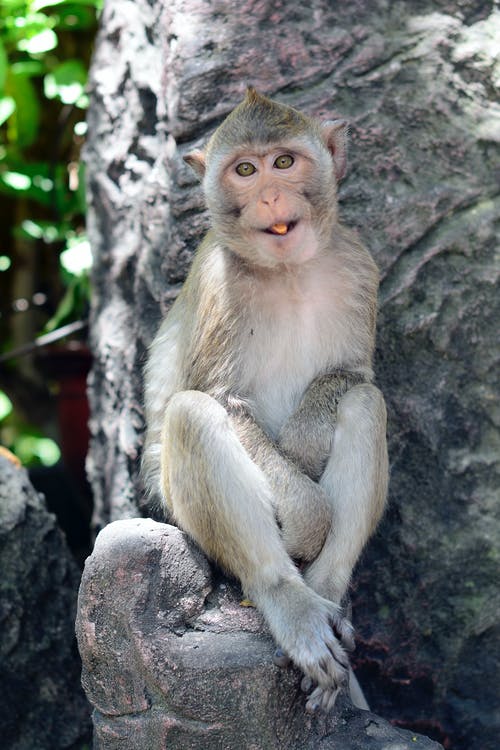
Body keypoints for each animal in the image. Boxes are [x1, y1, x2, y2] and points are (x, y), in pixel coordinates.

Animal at [143, 88, 388, 716]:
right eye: (245, 171)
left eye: (283, 162)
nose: (271, 195)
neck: (290, 272)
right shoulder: (219, 283)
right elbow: (220, 399)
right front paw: (306, 515)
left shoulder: (358, 263)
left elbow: (350, 377)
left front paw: (302, 443)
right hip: (175, 511)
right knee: (191, 415)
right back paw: (291, 603)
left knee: (365, 403)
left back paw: (327, 596)